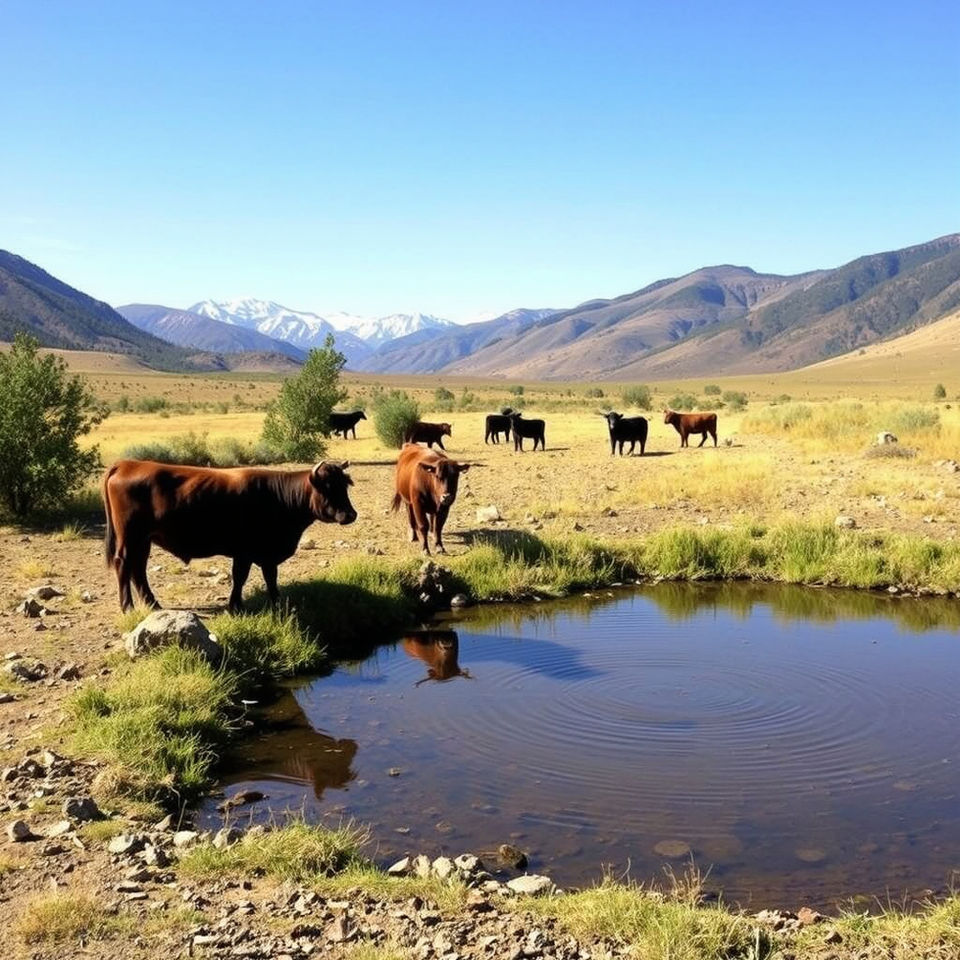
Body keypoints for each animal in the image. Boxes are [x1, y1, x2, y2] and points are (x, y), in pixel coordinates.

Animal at [102, 459, 357, 613]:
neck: (278, 497)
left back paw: (153, 604)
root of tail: (127, 464)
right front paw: (236, 605)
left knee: (139, 568)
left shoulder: (266, 553)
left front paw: (277, 602)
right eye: (327, 488)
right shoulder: (245, 552)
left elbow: (270, 577)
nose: (350, 514)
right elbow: (240, 577)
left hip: (144, 539)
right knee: (124, 564)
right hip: (129, 536)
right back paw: (128, 607)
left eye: (344, 486)